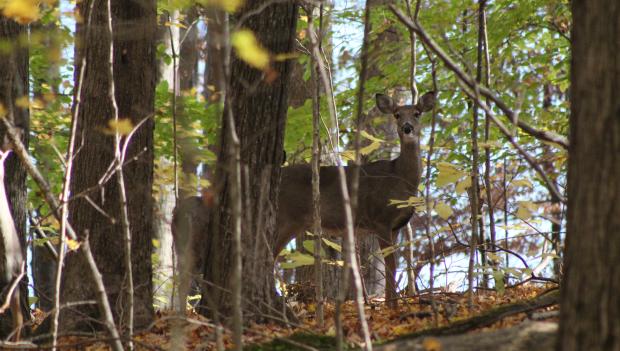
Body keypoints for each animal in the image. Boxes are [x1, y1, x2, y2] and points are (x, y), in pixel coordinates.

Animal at [276, 92, 436, 310]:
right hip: (287, 218)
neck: (399, 177)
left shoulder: (396, 226)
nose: (407, 127)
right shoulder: (380, 218)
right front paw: (392, 306)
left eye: (417, 113)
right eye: (397, 114)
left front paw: (390, 303)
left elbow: (391, 265)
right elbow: (391, 265)